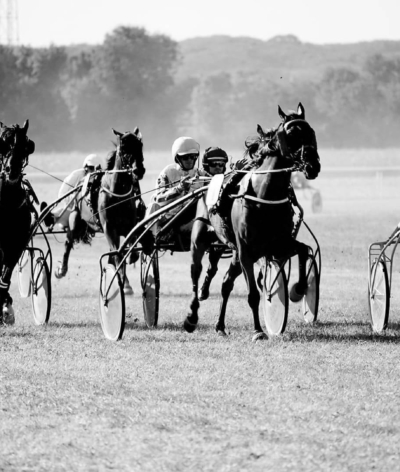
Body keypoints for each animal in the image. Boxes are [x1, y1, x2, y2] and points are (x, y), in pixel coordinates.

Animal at [54, 127, 145, 294]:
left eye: (140, 145)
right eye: (123, 147)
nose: (138, 170)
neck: (116, 193)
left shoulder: (129, 225)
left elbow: (129, 249)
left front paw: (130, 260)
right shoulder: (109, 227)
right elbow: (117, 254)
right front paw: (122, 282)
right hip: (75, 218)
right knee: (68, 241)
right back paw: (61, 269)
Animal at [183, 103, 320, 340]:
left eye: (311, 131)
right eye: (292, 133)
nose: (313, 165)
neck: (266, 195)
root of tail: (206, 183)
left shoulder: (278, 244)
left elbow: (304, 250)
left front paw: (298, 289)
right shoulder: (246, 251)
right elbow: (253, 295)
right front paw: (258, 330)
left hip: (236, 253)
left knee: (226, 283)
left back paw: (220, 325)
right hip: (200, 241)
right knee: (196, 274)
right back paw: (192, 317)